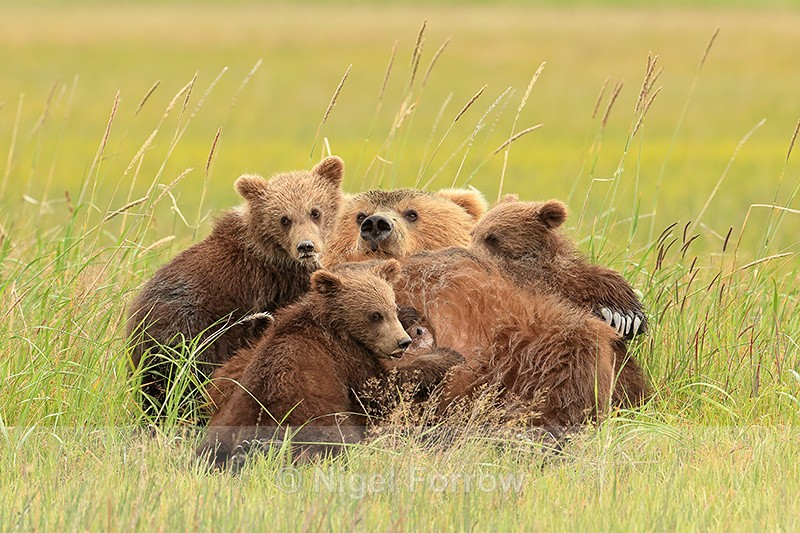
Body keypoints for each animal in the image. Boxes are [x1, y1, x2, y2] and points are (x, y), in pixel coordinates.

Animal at [197, 260, 463, 468]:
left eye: (391, 307)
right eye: (374, 315)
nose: (402, 342)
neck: (336, 325)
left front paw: (411, 315)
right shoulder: (344, 356)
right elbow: (380, 388)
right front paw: (446, 357)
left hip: (227, 420)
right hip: (312, 415)